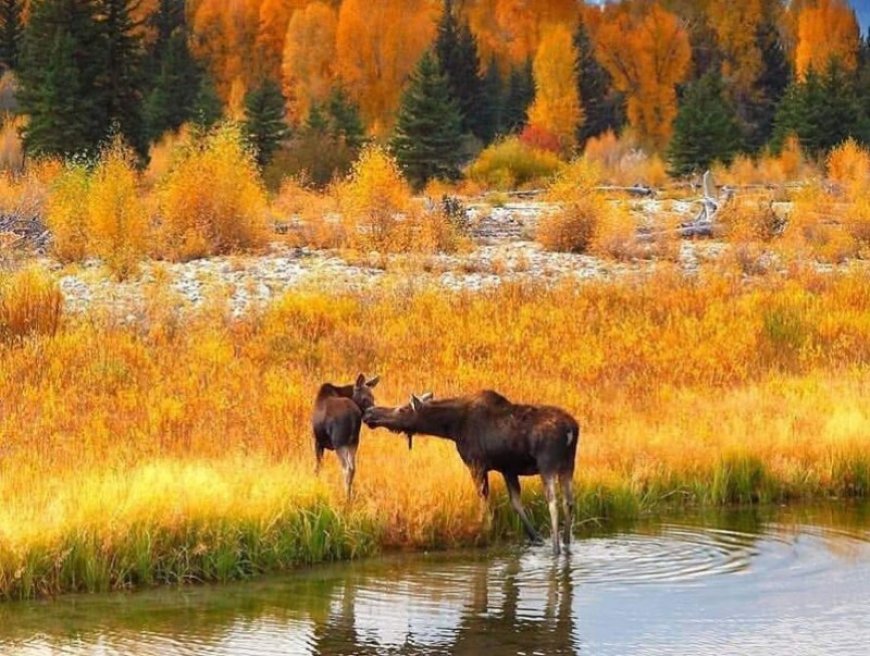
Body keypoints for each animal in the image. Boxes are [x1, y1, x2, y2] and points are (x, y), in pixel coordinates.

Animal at [364, 390, 584, 552]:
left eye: (402, 409)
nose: (370, 413)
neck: (451, 428)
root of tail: (571, 429)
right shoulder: (508, 468)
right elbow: (516, 503)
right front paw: (535, 537)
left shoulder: (476, 463)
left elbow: (483, 498)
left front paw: (485, 528)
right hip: (569, 464)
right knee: (569, 501)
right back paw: (566, 543)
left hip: (547, 464)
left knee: (553, 502)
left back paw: (556, 547)